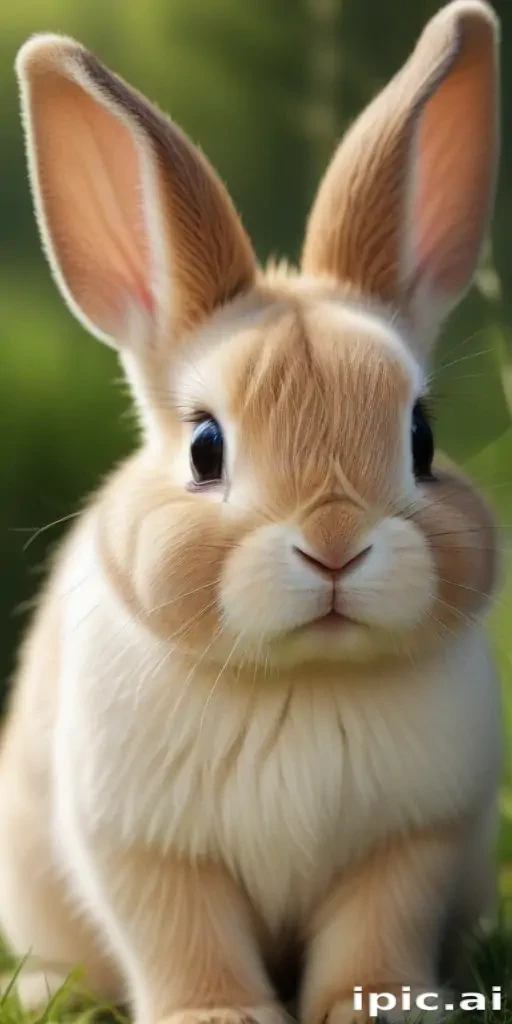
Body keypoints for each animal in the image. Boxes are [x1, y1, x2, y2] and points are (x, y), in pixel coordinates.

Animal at [0, 2, 503, 1022]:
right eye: (205, 448)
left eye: (422, 438)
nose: (335, 547)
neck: (298, 682)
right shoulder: (148, 855)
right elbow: (185, 941)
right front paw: (219, 1015)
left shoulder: (410, 846)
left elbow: (375, 936)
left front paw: (379, 1008)